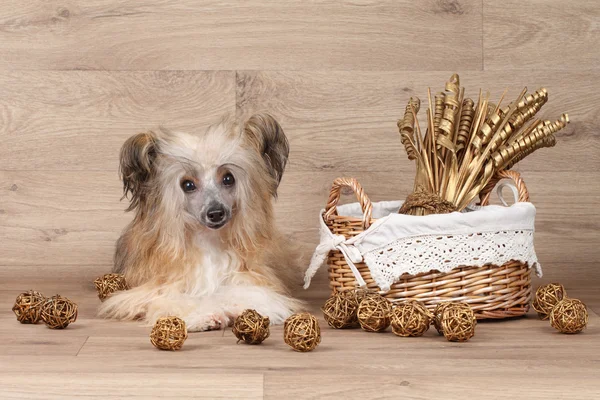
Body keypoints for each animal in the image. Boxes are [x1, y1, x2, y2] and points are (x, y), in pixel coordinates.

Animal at [99, 113, 304, 332]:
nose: (216, 213)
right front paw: (204, 315)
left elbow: (248, 292)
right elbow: (174, 300)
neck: (209, 241)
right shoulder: (152, 290)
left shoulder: (252, 277)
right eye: (187, 185)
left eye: (228, 178)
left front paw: (239, 309)